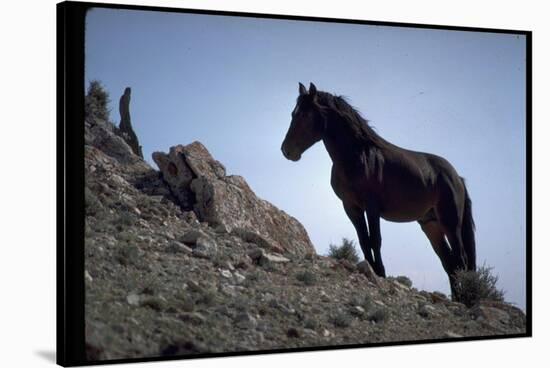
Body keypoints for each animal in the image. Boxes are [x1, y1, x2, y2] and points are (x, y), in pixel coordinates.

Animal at [282, 82, 476, 298]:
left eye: (305, 115)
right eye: (293, 113)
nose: (287, 150)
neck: (357, 157)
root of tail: (457, 178)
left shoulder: (372, 207)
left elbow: (375, 240)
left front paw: (380, 274)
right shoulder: (351, 207)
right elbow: (364, 241)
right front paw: (371, 270)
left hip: (450, 222)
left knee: (461, 260)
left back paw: (465, 298)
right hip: (431, 225)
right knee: (449, 262)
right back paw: (458, 298)